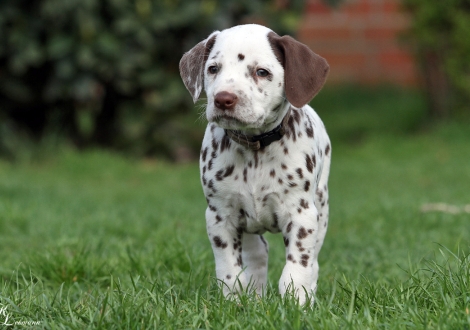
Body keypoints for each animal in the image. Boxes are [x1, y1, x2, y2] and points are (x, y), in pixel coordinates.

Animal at [179, 24, 330, 306]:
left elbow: (297, 266)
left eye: (262, 72)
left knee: (313, 259)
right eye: (213, 68)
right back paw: (255, 297)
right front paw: (232, 302)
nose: (223, 99)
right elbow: (229, 268)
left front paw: (297, 302)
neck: (255, 149)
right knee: (257, 254)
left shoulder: (302, 215)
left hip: (321, 206)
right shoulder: (220, 216)